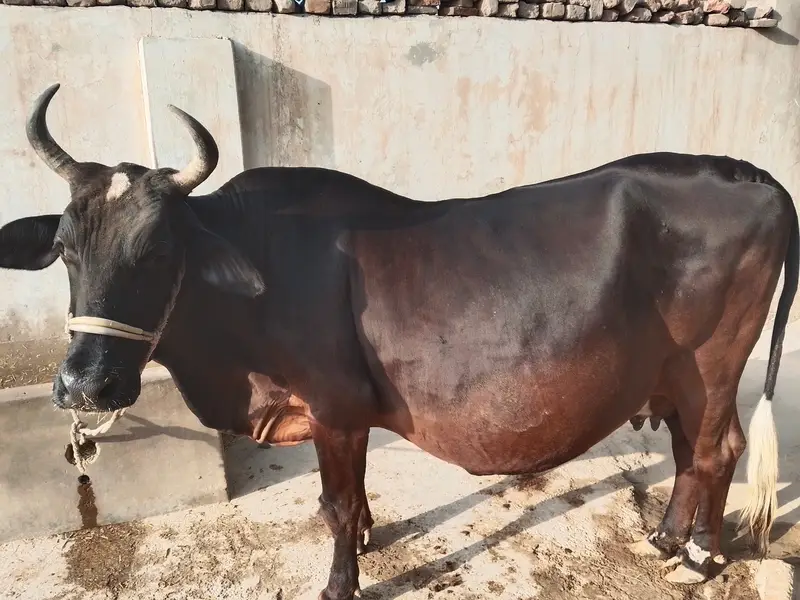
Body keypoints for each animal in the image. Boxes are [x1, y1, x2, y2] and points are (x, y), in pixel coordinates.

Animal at [0, 83, 796, 600]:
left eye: (162, 251)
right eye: (66, 248)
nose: (85, 385)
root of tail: (749, 174)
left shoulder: (335, 407)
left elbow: (336, 503)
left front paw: (340, 582)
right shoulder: (342, 417)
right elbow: (346, 500)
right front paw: (364, 542)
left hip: (714, 361)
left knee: (718, 449)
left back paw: (699, 557)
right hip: (676, 374)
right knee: (690, 451)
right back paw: (667, 538)